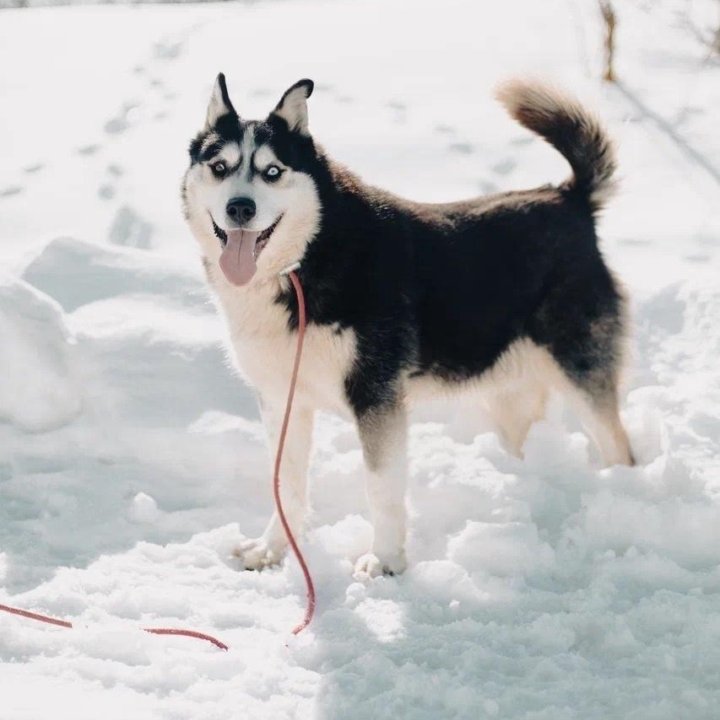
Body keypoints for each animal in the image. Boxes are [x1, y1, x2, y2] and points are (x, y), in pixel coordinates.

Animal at [183, 76, 632, 576]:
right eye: (220, 167)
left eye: (273, 171)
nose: (240, 208)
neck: (307, 261)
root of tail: (568, 198)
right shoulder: (282, 400)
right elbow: (288, 485)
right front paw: (272, 549)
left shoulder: (376, 398)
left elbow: (381, 489)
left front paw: (384, 562)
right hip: (507, 393)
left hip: (581, 374)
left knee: (620, 447)